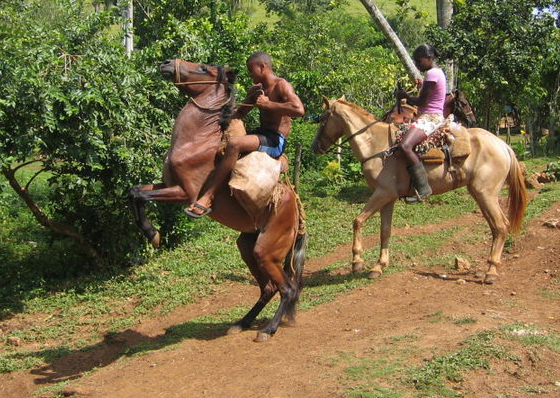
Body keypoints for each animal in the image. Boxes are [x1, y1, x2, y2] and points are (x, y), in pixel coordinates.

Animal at [130, 59, 308, 342]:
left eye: (203, 68)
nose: (167, 63)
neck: (196, 141)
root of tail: (296, 206)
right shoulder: (167, 185)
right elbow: (135, 192)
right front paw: (153, 235)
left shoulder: (184, 193)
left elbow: (141, 195)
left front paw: (153, 234)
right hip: (247, 246)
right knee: (268, 288)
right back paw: (242, 322)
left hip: (267, 252)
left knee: (287, 289)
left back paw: (267, 330)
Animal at [310, 98, 524, 284]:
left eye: (322, 119)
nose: (315, 147)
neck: (376, 146)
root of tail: (503, 145)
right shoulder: (388, 198)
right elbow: (384, 231)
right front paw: (379, 265)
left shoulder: (382, 193)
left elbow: (358, 221)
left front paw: (357, 262)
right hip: (480, 194)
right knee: (496, 227)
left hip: (485, 194)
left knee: (500, 225)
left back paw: (491, 271)